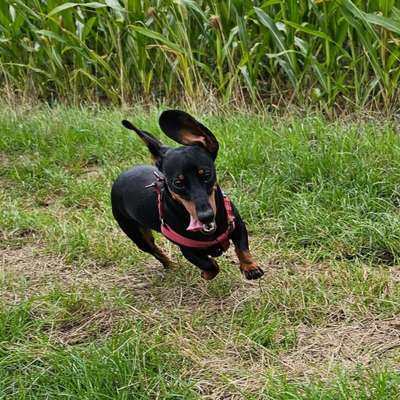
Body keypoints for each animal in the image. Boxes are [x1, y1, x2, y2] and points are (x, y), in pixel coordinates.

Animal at [111, 109, 264, 282]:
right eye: (178, 183)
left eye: (206, 174)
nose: (206, 216)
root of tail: (120, 177)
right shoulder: (187, 249)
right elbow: (210, 265)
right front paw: (206, 273)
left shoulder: (237, 224)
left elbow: (242, 247)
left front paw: (250, 267)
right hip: (138, 236)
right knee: (155, 251)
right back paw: (171, 266)